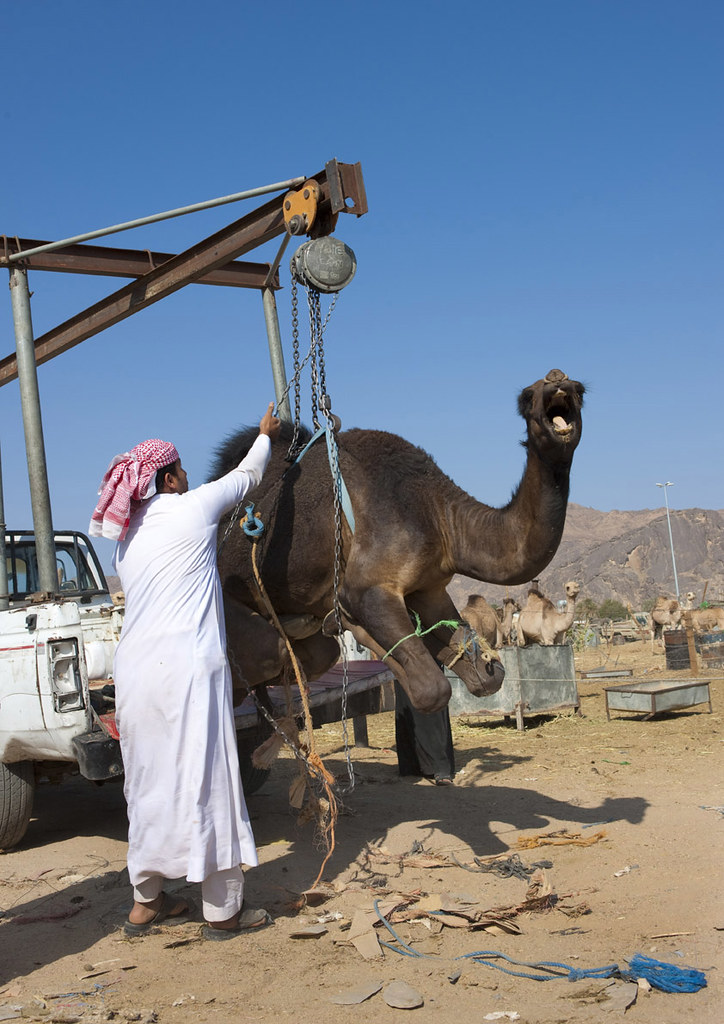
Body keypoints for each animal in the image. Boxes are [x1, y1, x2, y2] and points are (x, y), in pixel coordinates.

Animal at [214, 368, 584, 713]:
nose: (557, 380)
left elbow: (479, 672)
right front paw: (350, 621)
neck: (440, 513)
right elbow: (431, 690)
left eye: (580, 390)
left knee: (316, 654)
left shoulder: (429, 587)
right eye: (527, 396)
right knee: (269, 654)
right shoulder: (371, 587)